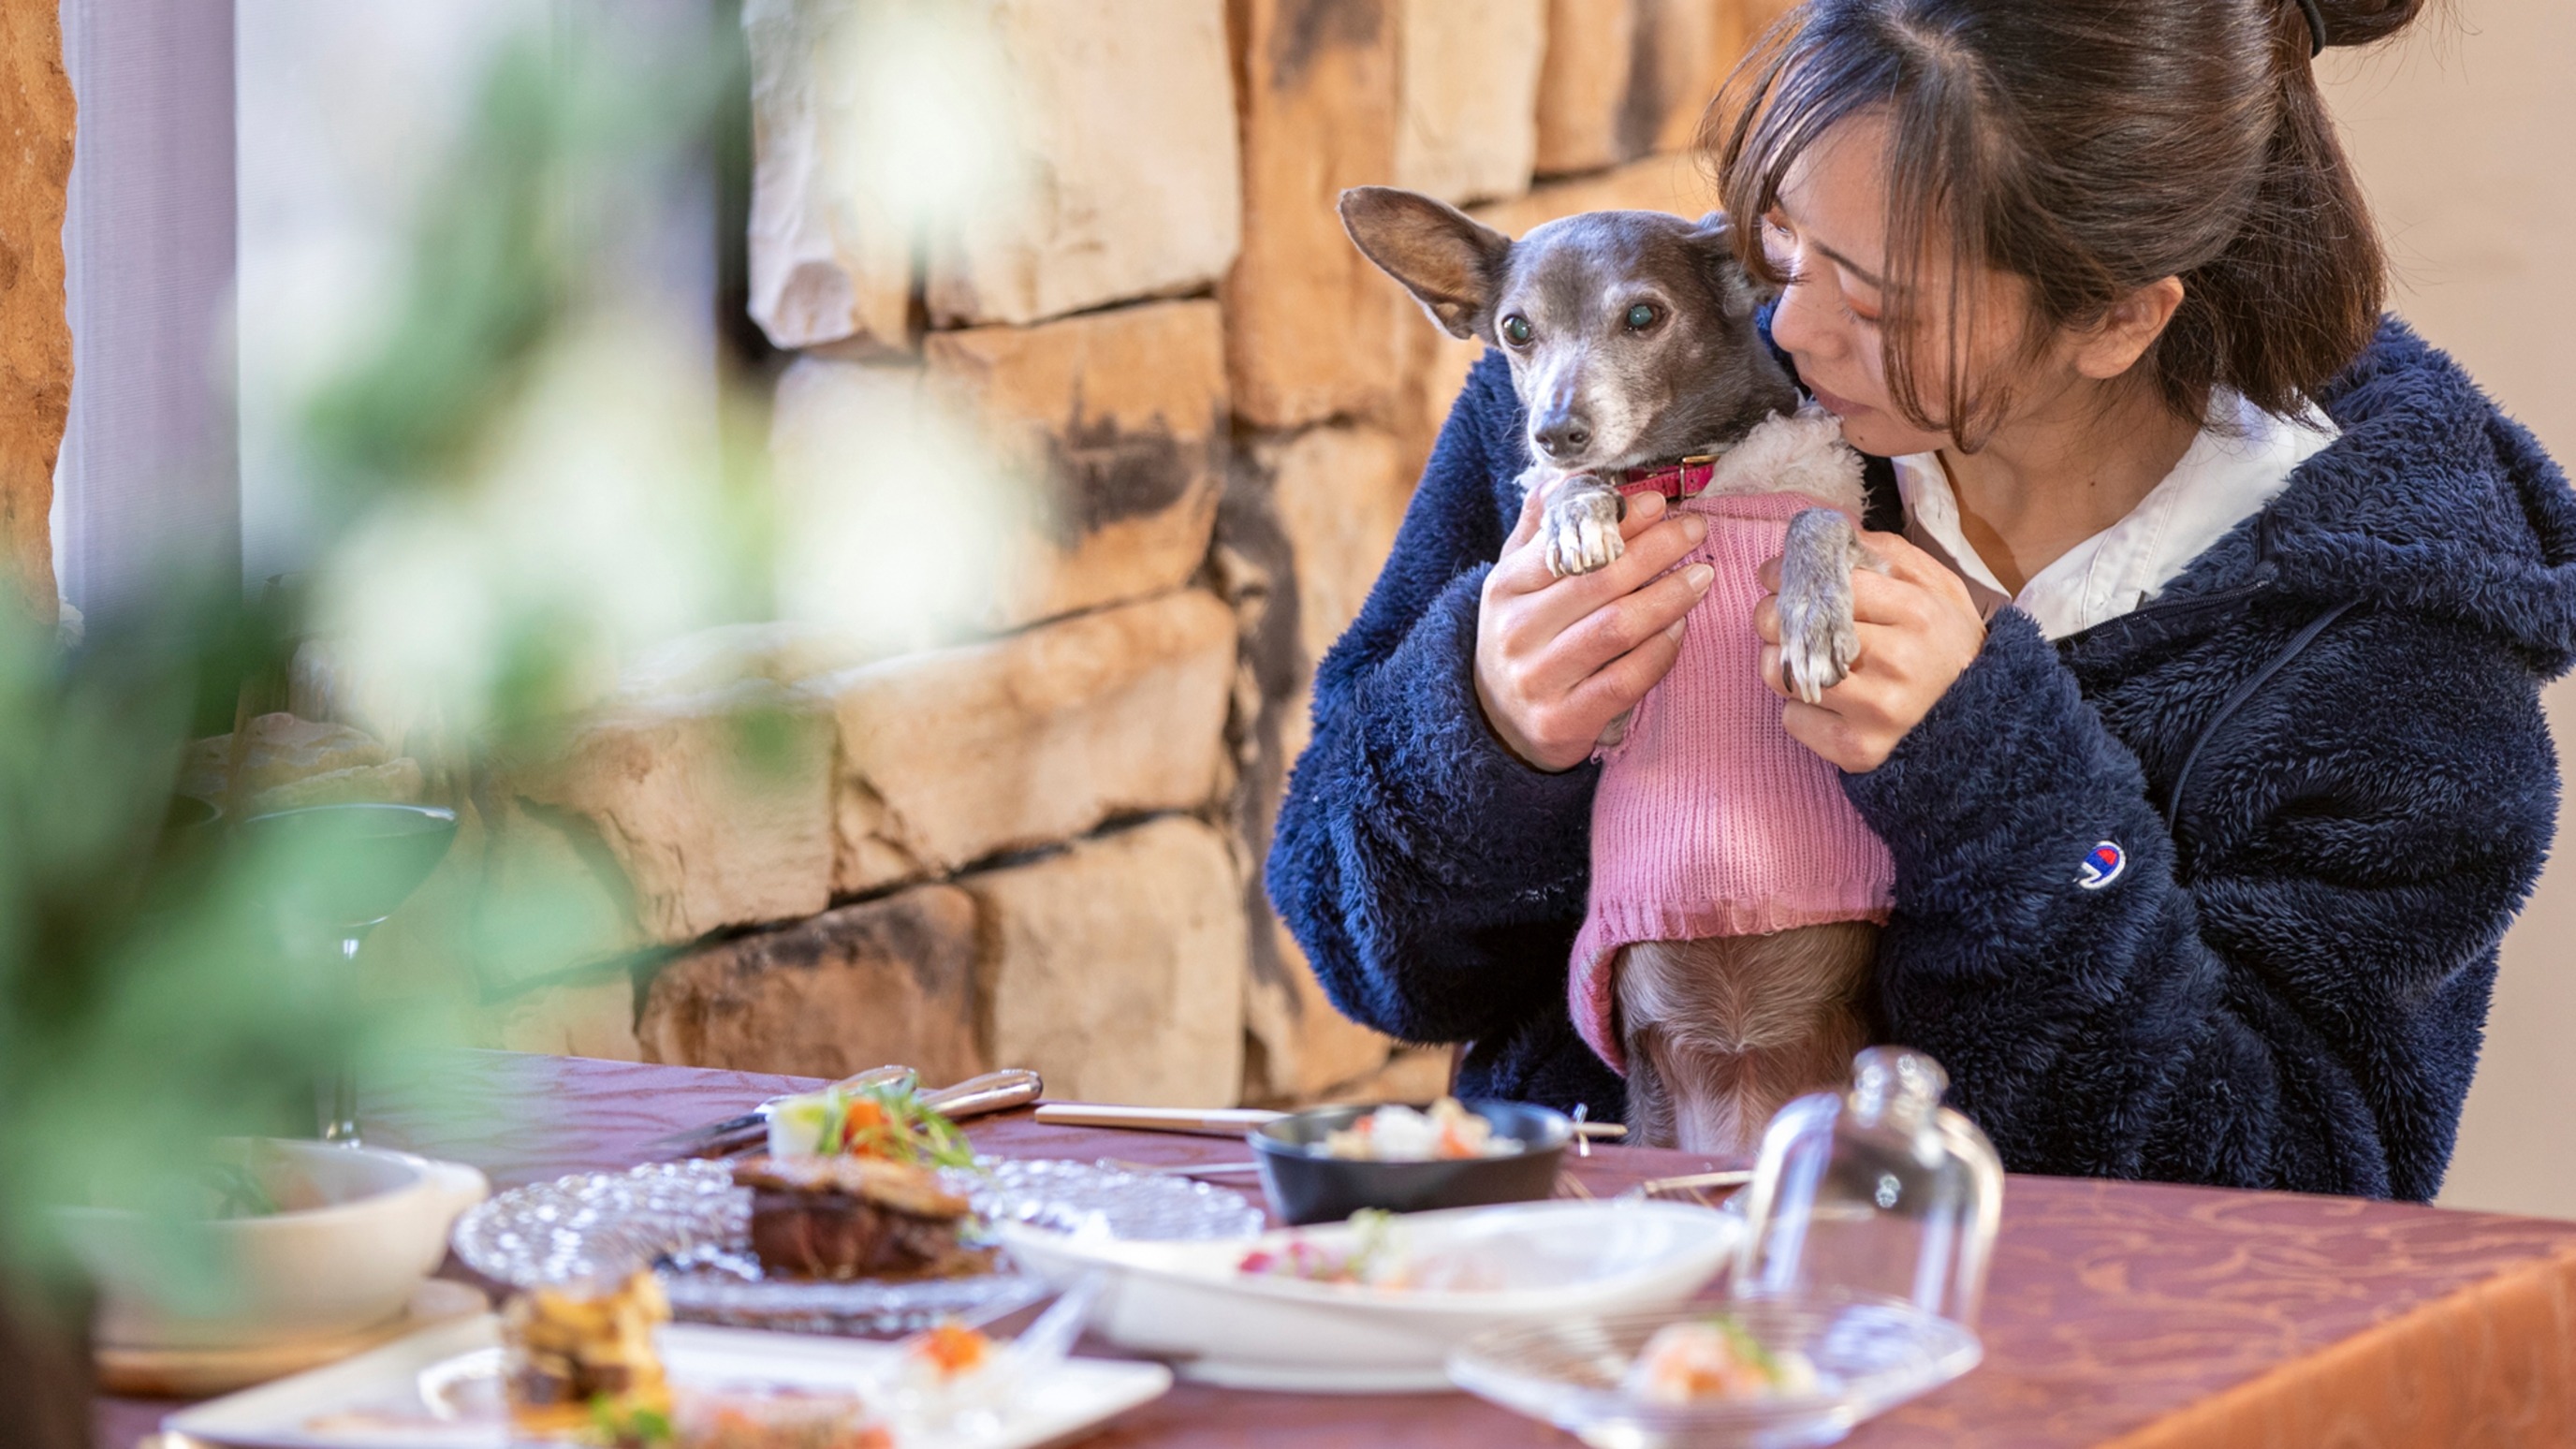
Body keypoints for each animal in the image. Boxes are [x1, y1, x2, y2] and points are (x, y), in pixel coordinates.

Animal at [1339, 183, 1885, 1149]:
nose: (1557, 431)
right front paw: (1577, 512)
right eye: (1515, 330)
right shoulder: (1612, 718)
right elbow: (1576, 498)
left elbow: (1816, 520)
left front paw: (1814, 609)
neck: (1679, 478)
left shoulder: (1866, 532)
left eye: (1643, 316)